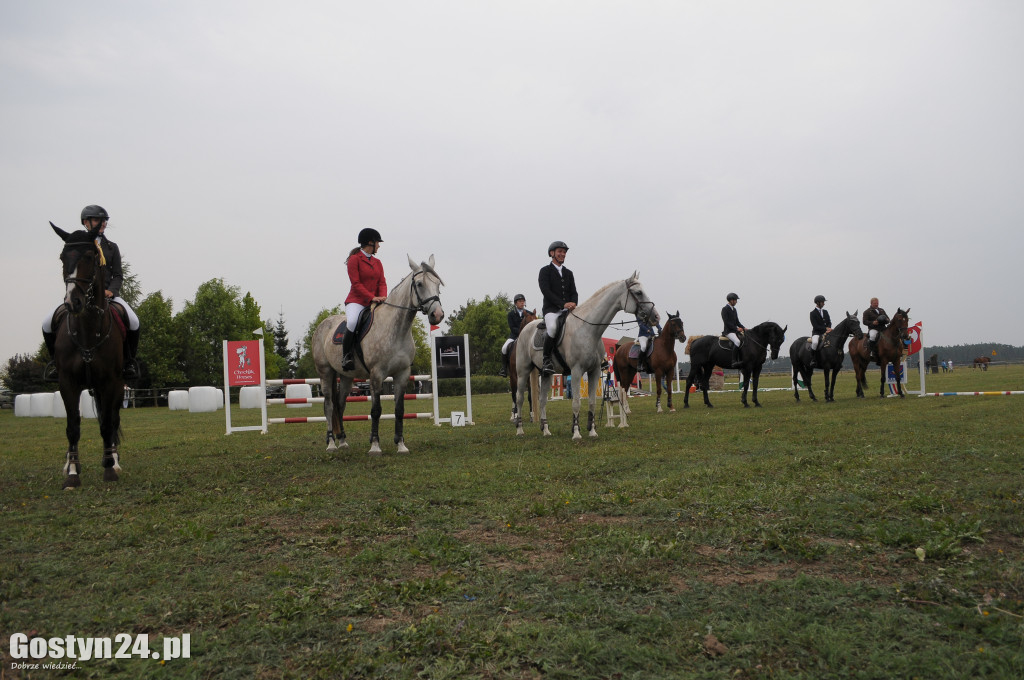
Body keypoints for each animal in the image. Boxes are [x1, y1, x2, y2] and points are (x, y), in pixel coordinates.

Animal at [50, 225, 126, 485]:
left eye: (91, 257)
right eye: (62, 257)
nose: (73, 302)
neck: (87, 333)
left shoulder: (111, 382)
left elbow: (107, 425)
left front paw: (109, 468)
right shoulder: (67, 383)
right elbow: (73, 426)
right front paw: (73, 473)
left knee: (111, 420)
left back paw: (114, 459)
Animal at [516, 274, 659, 440]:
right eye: (638, 293)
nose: (656, 317)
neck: (588, 329)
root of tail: (525, 328)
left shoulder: (595, 371)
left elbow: (592, 402)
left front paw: (592, 431)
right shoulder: (577, 371)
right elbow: (576, 402)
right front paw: (576, 433)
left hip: (546, 374)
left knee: (542, 399)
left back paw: (545, 430)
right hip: (523, 372)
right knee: (519, 398)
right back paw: (519, 430)